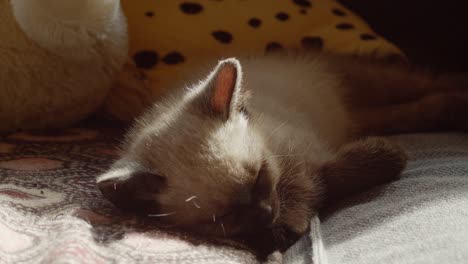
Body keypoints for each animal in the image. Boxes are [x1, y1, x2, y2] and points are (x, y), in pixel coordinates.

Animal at [96, 52, 468, 258]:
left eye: (260, 175)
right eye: (222, 219)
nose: (265, 213)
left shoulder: (303, 158)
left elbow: (328, 179)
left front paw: (390, 157)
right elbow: (321, 185)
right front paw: (278, 234)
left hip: (381, 83)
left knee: (430, 82)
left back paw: (456, 95)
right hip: (372, 115)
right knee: (412, 111)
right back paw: (451, 108)